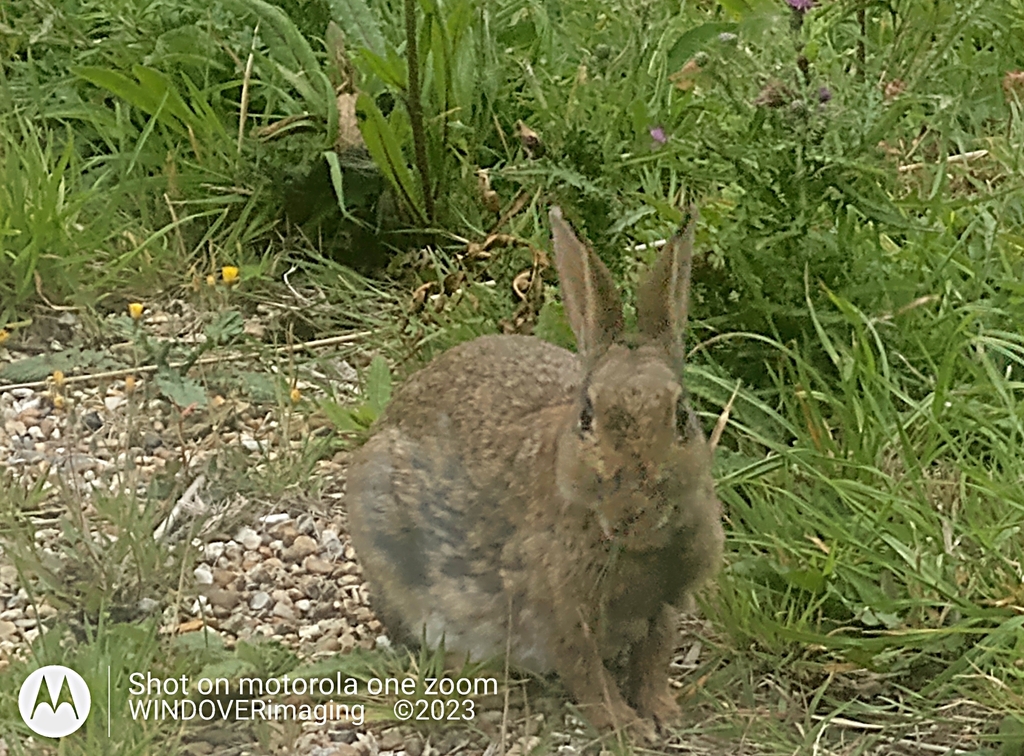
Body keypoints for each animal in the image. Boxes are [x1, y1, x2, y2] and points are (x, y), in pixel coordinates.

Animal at [345, 205, 724, 738]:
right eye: (587, 417)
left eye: (682, 416)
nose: (637, 508)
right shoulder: (559, 613)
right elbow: (586, 673)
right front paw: (623, 725)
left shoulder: (665, 606)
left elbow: (653, 658)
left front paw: (661, 712)